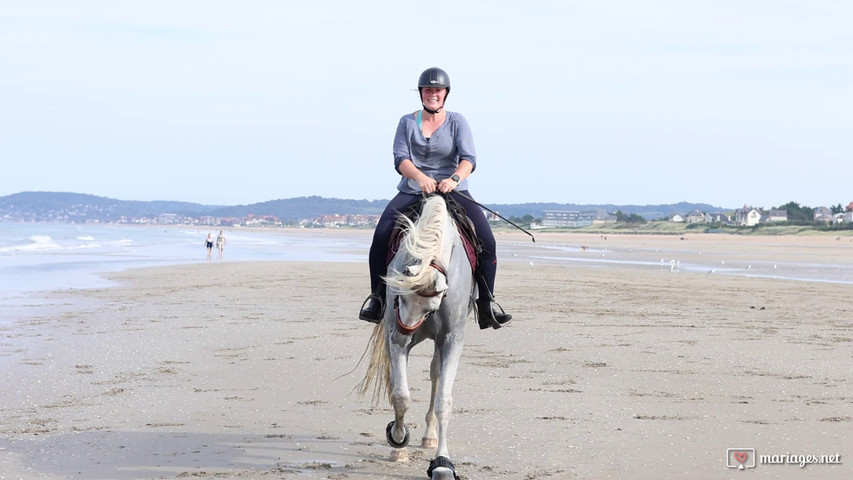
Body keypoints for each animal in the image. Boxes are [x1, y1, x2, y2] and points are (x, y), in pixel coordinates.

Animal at [358, 194, 476, 480]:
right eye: (399, 297)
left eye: (431, 307)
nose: (403, 335)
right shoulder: (395, 337)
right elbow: (400, 396)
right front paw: (398, 442)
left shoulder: (452, 339)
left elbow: (444, 400)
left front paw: (443, 463)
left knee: (435, 375)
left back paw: (430, 437)